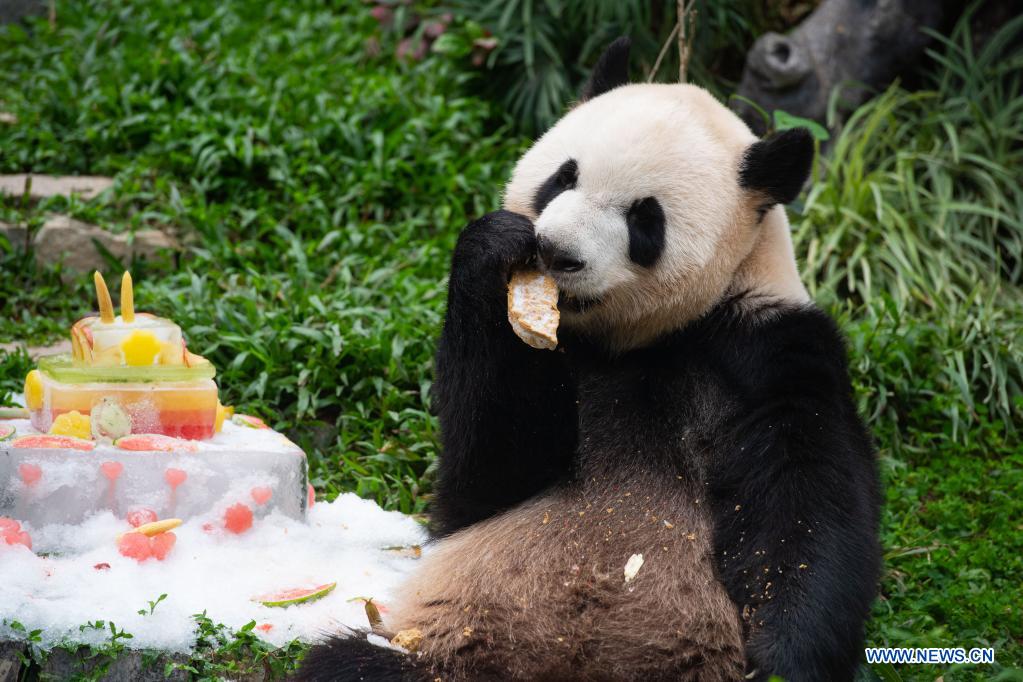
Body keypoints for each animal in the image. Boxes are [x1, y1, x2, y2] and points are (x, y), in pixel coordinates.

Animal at [296, 36, 879, 682]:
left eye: (645, 219)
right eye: (562, 176)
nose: (555, 251)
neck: (634, 341)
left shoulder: (767, 349)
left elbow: (808, 502)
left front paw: (781, 658)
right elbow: (487, 478)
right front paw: (496, 249)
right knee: (344, 665)